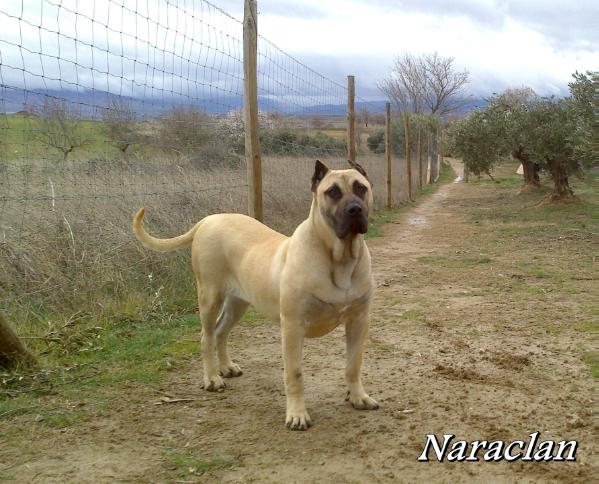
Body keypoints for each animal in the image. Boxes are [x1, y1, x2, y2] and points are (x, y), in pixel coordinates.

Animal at [135, 161, 380, 430]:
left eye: (361, 188)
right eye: (333, 192)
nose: (355, 209)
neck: (340, 257)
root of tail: (207, 220)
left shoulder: (359, 320)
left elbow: (353, 364)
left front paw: (358, 397)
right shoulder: (293, 326)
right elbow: (294, 374)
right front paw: (297, 414)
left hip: (237, 302)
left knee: (221, 331)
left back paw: (227, 367)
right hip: (210, 295)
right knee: (206, 336)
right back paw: (212, 378)